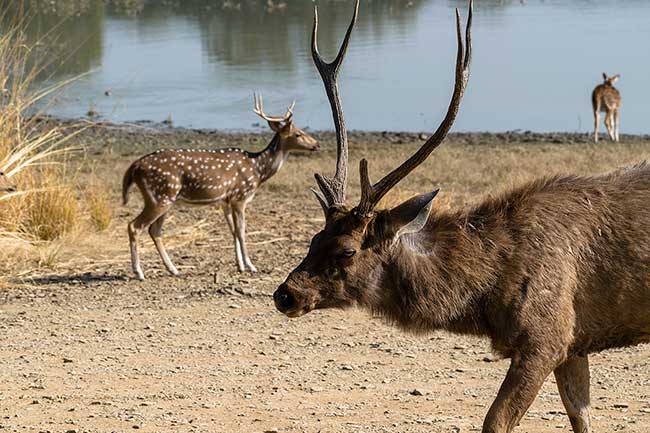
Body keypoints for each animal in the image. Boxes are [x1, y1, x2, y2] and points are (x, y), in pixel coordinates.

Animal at [123, 93, 318, 280]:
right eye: (298, 133)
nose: (317, 144)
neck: (258, 170)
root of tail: (135, 166)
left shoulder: (225, 200)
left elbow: (232, 231)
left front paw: (240, 265)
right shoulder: (240, 196)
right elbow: (241, 231)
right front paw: (251, 266)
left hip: (166, 199)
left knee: (154, 230)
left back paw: (173, 270)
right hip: (160, 196)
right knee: (135, 226)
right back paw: (139, 272)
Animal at [270, 1, 648, 430]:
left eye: (347, 250)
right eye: (314, 239)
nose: (285, 293)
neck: (487, 294)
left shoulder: (546, 335)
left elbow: (496, 420)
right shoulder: (574, 342)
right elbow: (582, 418)